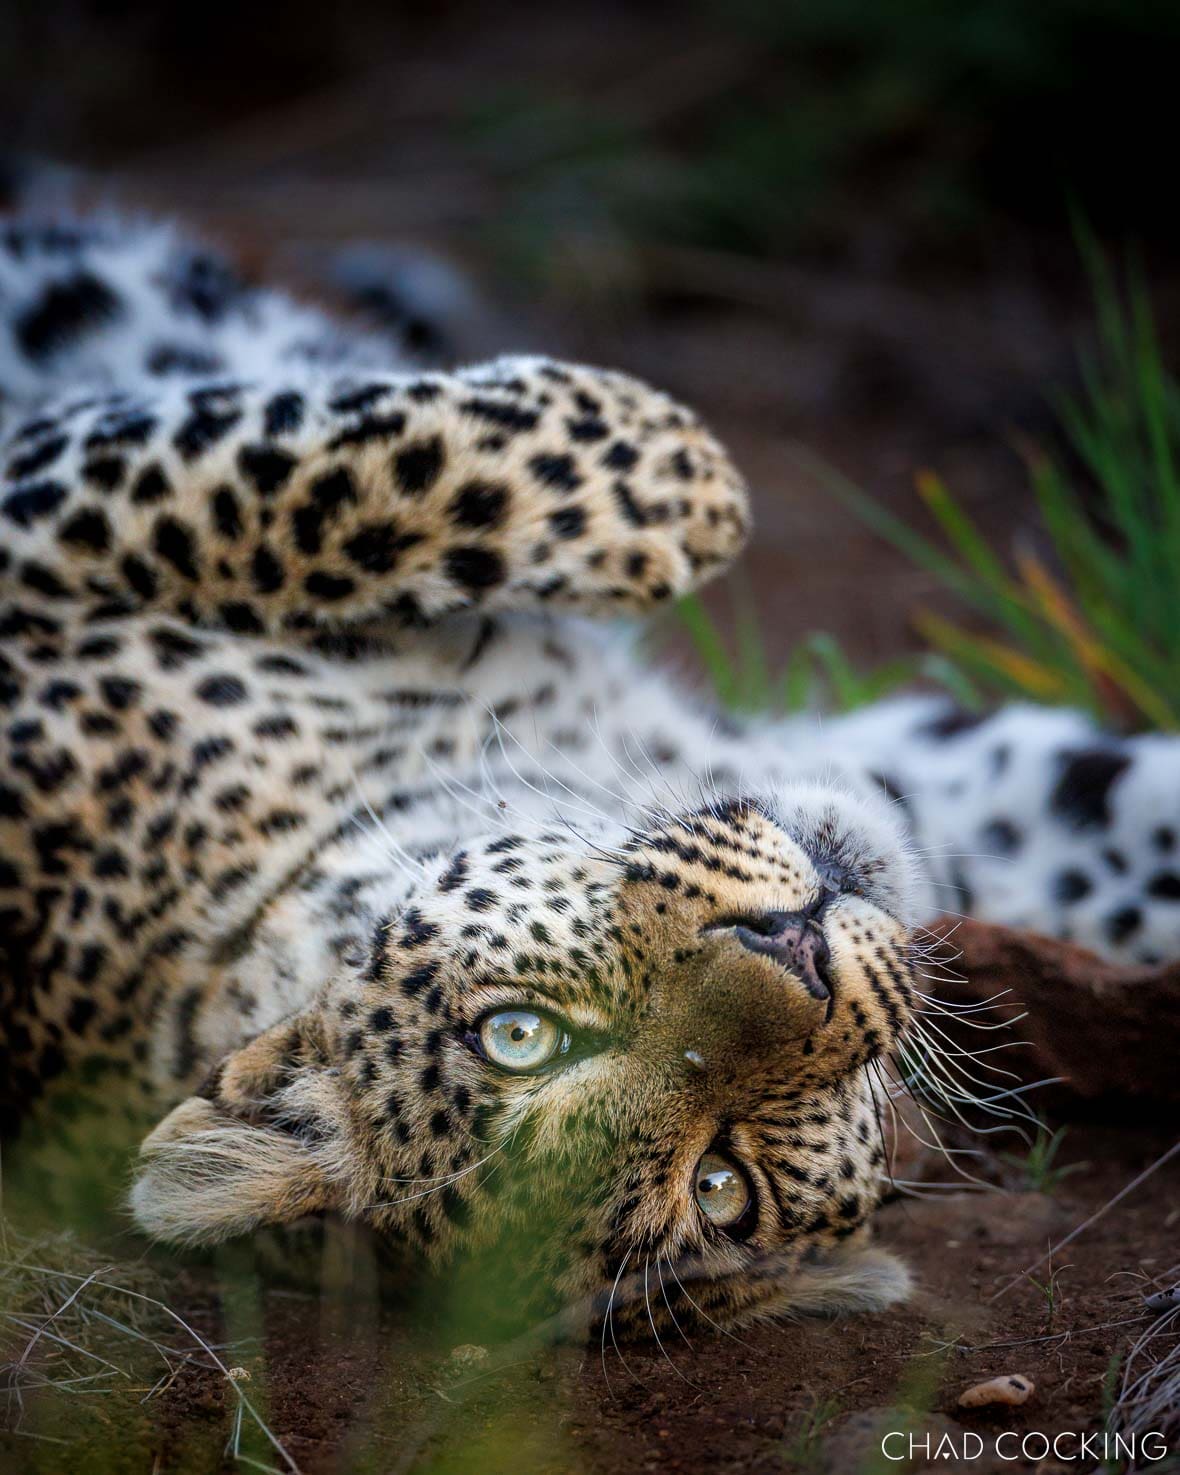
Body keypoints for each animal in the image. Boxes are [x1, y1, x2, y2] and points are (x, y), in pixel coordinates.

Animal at [3, 212, 1179, 1338]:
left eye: (517, 1032)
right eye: (721, 1184)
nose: (794, 944)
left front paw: (678, 475)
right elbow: (359, 476)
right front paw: (693, 481)